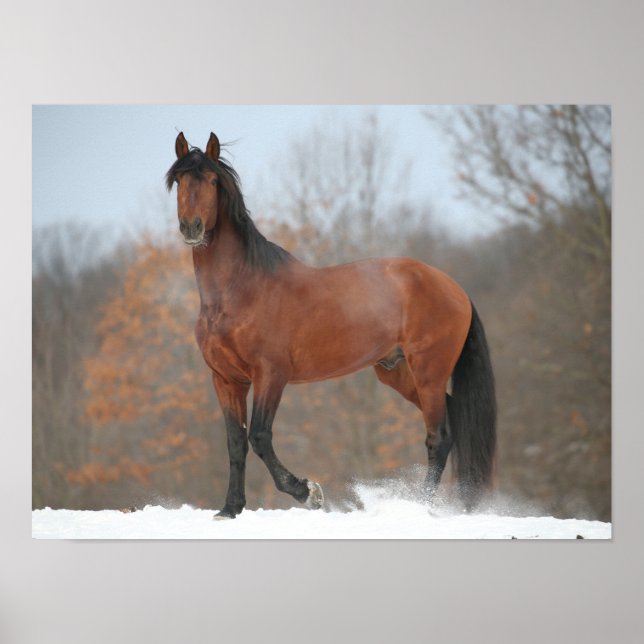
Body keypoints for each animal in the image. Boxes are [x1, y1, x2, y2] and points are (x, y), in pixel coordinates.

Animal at [166, 131, 496, 519]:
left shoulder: (271, 374)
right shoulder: (226, 379)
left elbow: (259, 436)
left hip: (428, 372)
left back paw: (421, 506)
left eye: (213, 181)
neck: (240, 290)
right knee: (455, 420)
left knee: (439, 438)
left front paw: (309, 493)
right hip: (398, 373)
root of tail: (454, 288)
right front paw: (231, 509)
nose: (192, 227)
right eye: (179, 181)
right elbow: (235, 442)